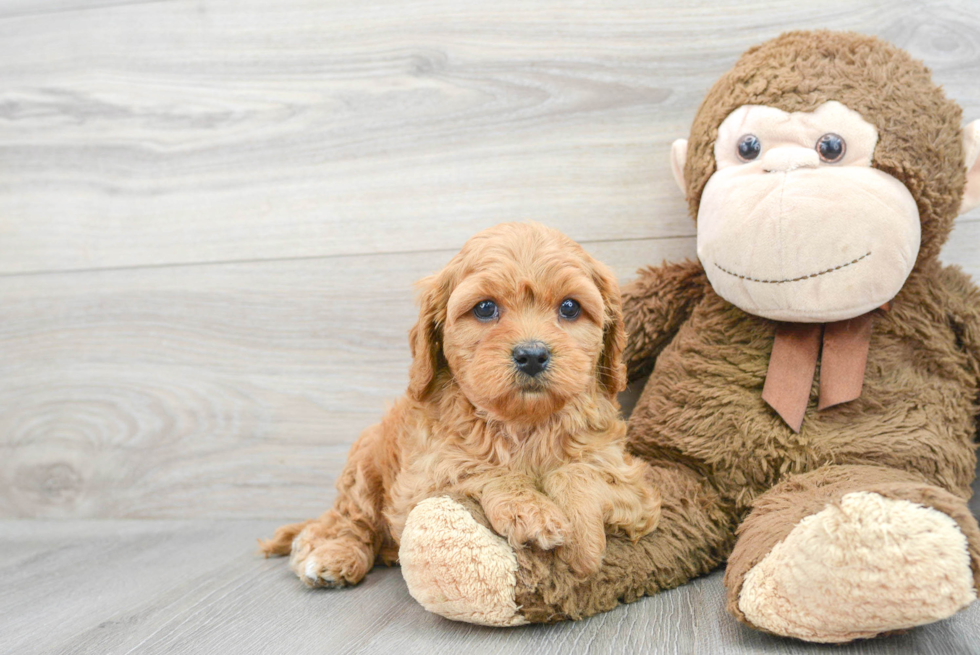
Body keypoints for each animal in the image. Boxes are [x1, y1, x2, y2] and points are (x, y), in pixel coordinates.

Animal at [260, 223, 660, 588]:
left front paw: (582, 544)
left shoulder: (631, 482)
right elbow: (475, 468)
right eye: (484, 308)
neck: (523, 424)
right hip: (364, 460)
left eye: (570, 307)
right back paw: (332, 555)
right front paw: (533, 511)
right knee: (345, 520)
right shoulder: (419, 483)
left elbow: (577, 472)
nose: (532, 355)